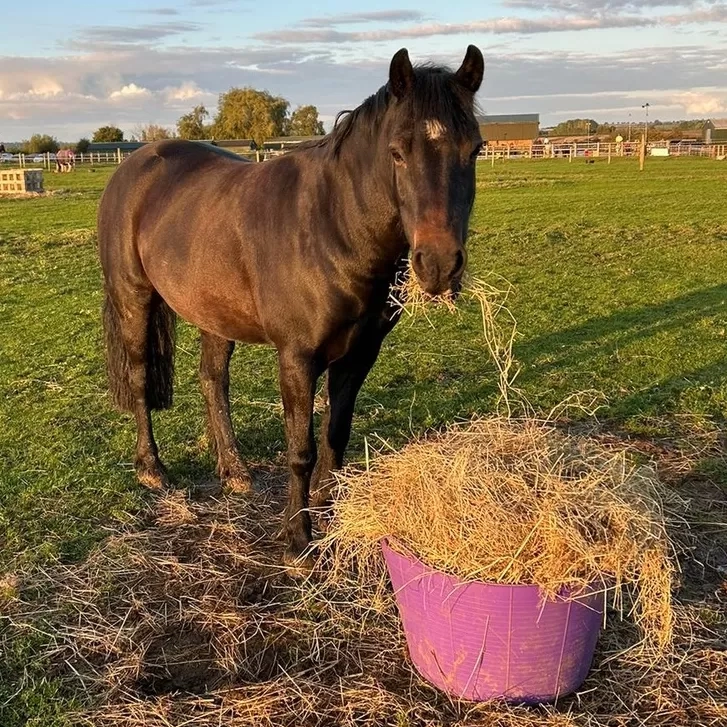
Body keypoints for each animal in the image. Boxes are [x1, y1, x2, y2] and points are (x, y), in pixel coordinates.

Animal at [96, 45, 484, 572]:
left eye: (475, 149)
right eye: (398, 152)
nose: (440, 265)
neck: (333, 226)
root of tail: (134, 166)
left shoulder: (359, 356)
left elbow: (336, 435)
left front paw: (329, 506)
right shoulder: (298, 358)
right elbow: (300, 448)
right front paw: (297, 539)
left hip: (214, 313)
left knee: (212, 381)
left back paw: (234, 470)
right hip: (134, 298)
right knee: (139, 379)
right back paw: (152, 469)